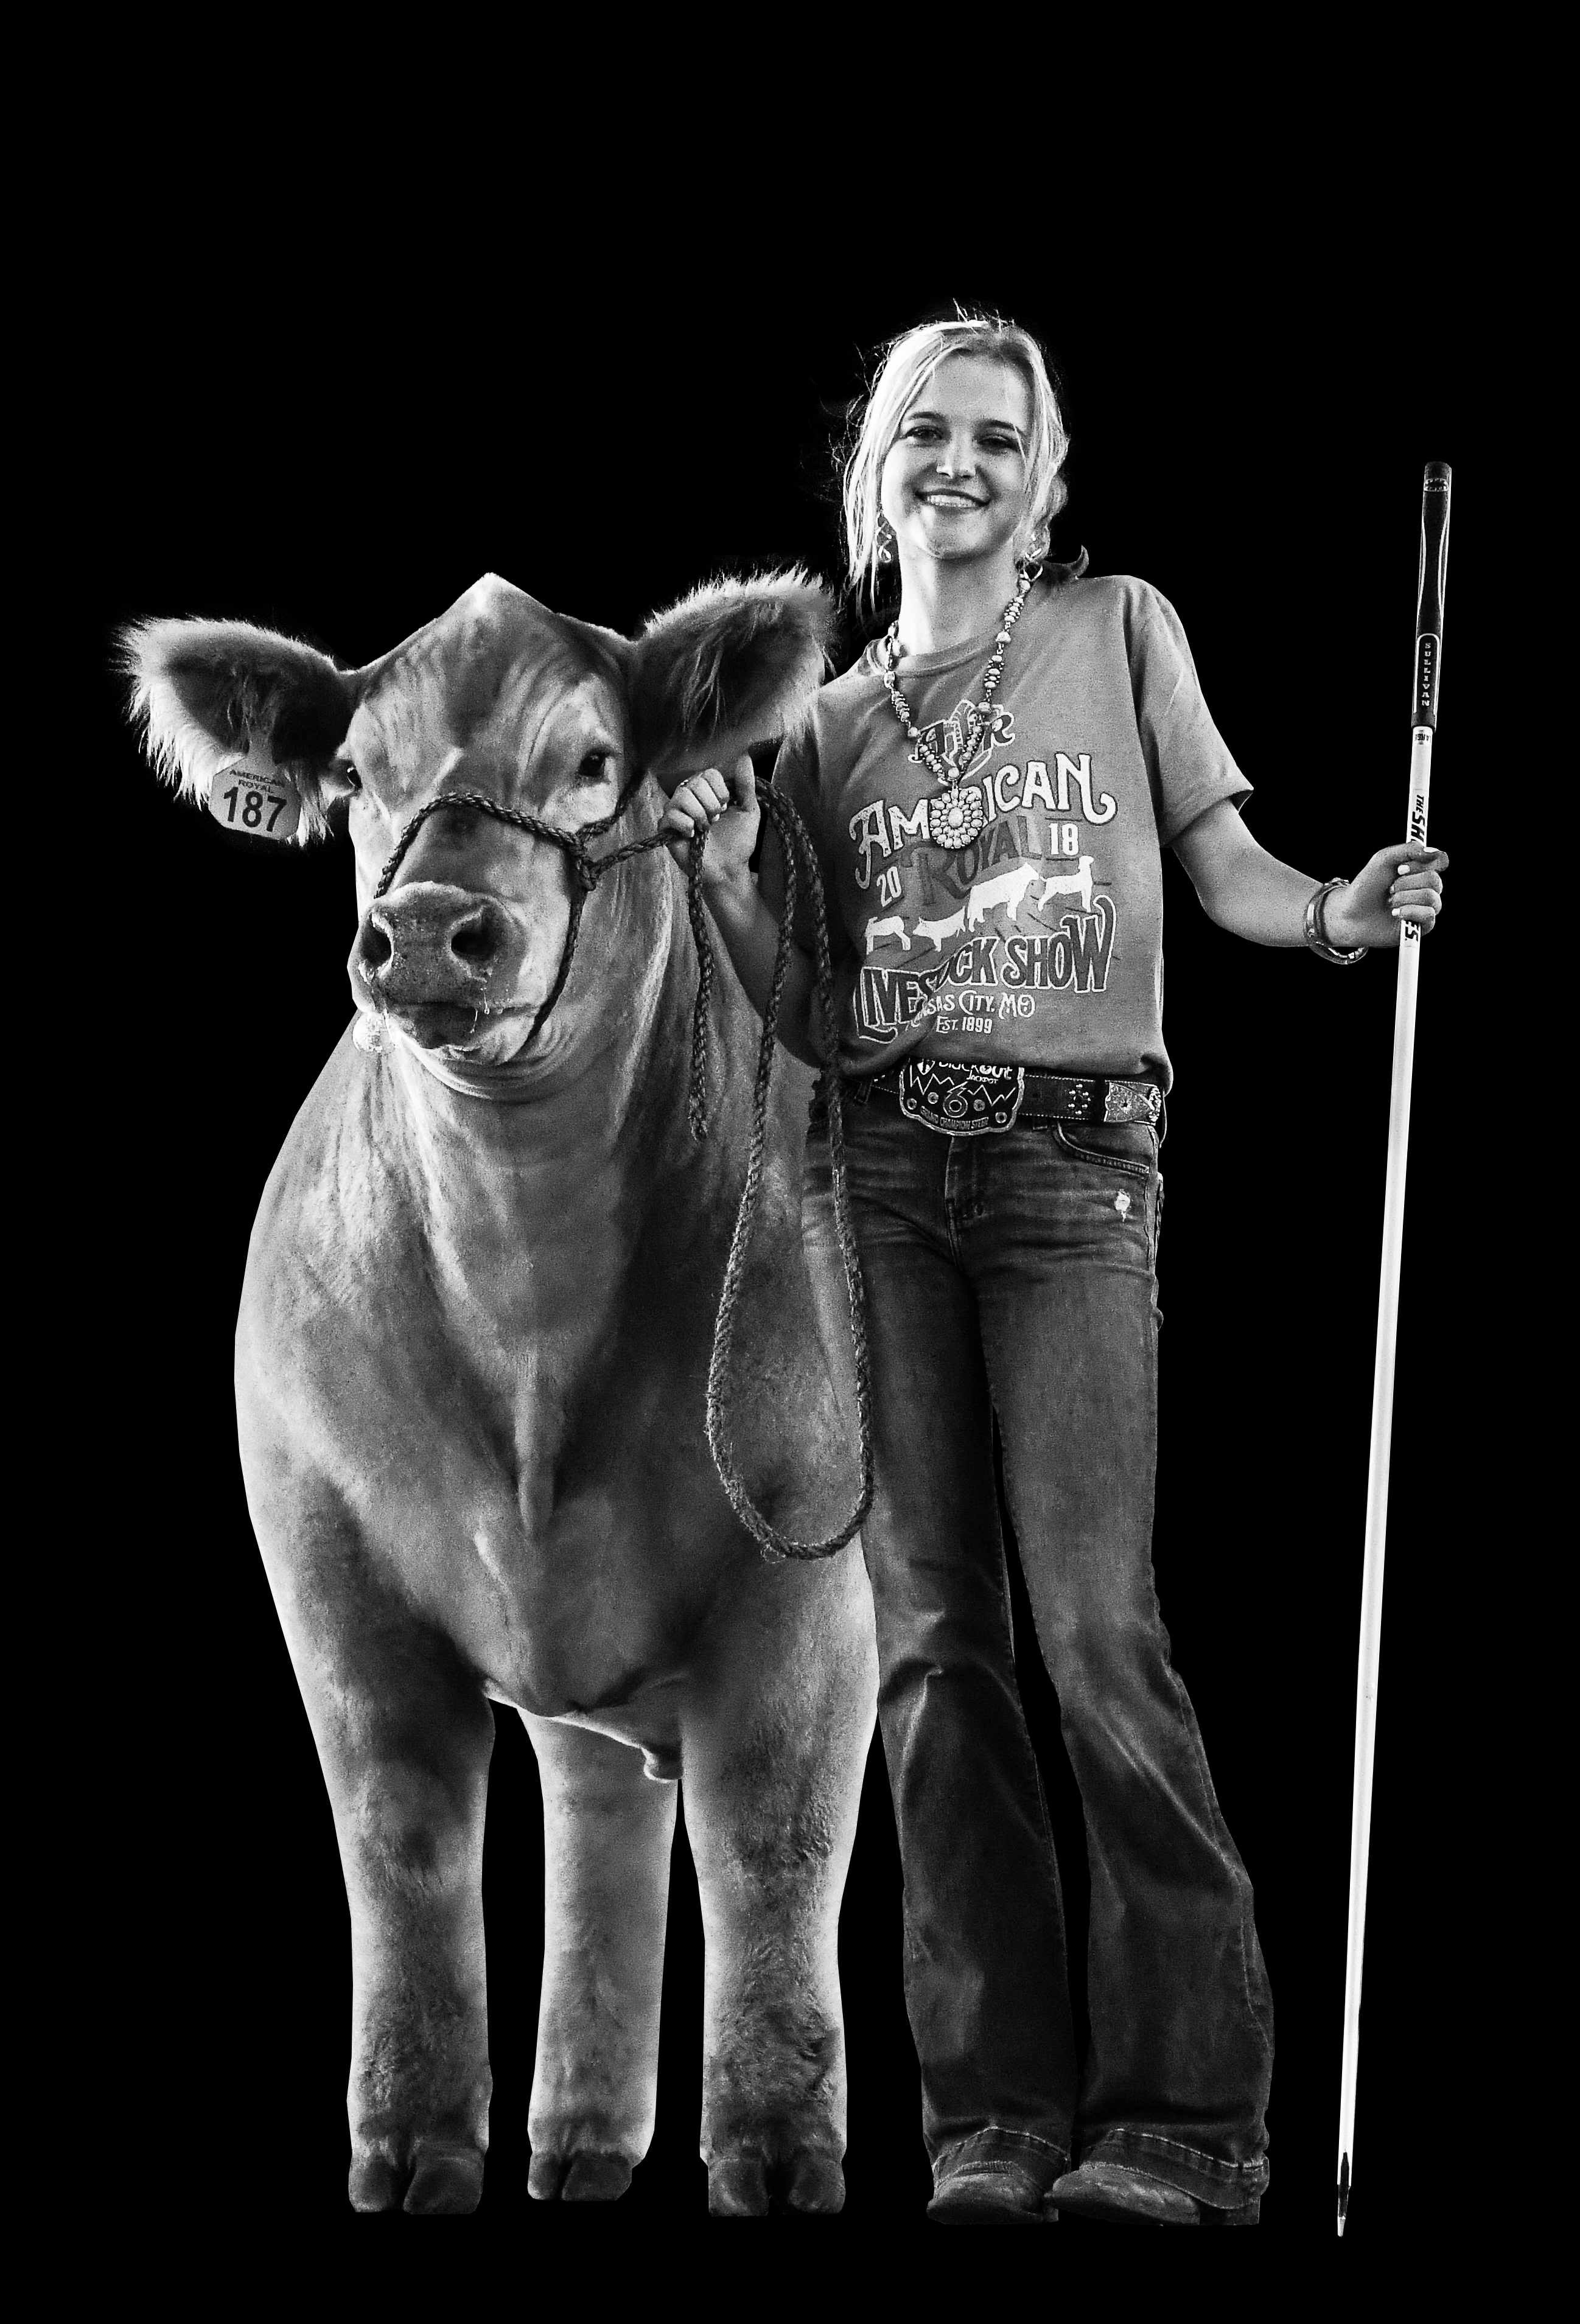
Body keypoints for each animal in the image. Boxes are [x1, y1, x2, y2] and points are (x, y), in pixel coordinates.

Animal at [122, 572, 878, 2219]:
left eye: (594, 759)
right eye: (354, 776)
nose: (426, 932)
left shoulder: (805, 1579)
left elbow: (774, 1843)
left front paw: (777, 2154)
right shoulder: (325, 1568)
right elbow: (403, 1842)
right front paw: (410, 2147)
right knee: (598, 1815)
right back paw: (579, 2141)